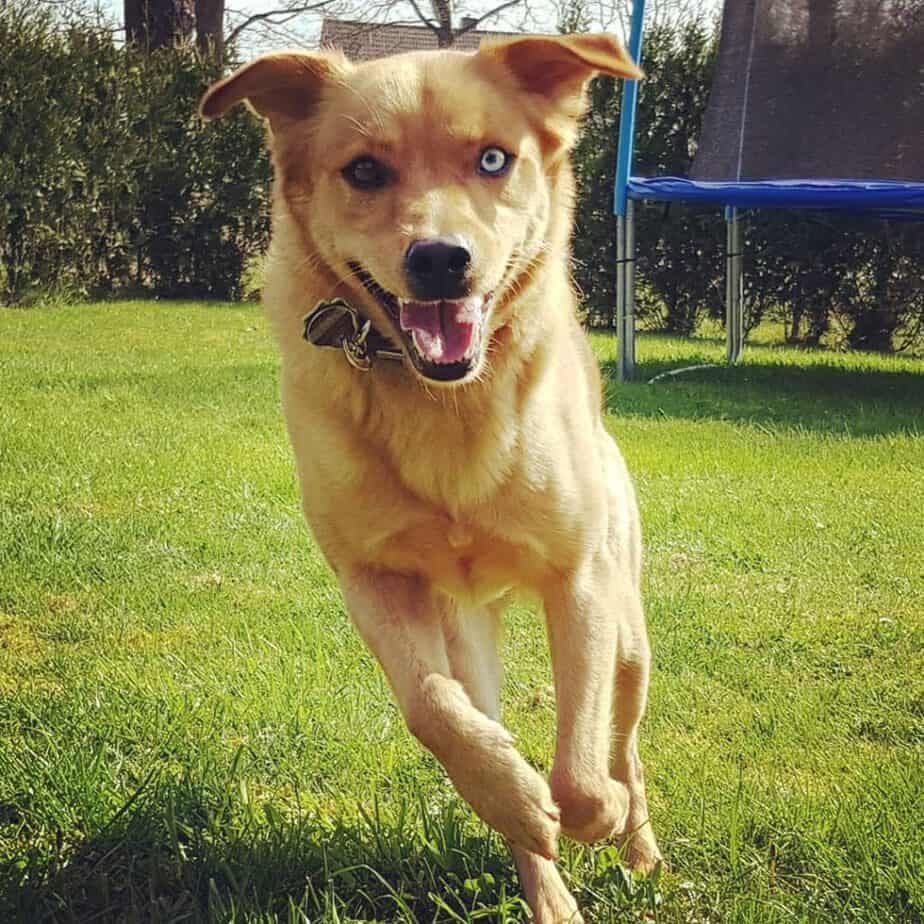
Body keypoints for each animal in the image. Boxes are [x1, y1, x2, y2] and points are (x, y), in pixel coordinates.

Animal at [202, 32, 660, 920]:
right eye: (364, 170)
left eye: (493, 158)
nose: (443, 259)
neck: (443, 398)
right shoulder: (373, 577)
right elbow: (429, 708)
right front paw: (518, 799)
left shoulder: (580, 581)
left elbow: (585, 768)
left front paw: (597, 812)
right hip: (466, 633)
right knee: (478, 716)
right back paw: (542, 875)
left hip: (627, 629)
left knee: (624, 742)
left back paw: (640, 844)